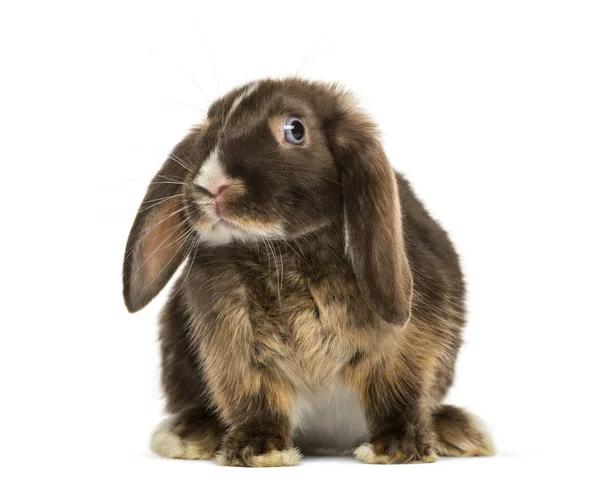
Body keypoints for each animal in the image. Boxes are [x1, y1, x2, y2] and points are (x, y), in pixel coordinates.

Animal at [120, 78, 492, 468]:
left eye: (294, 129)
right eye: (208, 127)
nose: (211, 186)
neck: (285, 249)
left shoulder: (406, 344)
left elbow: (397, 393)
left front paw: (397, 448)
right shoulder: (235, 346)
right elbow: (254, 398)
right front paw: (259, 450)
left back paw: (459, 430)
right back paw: (190, 435)